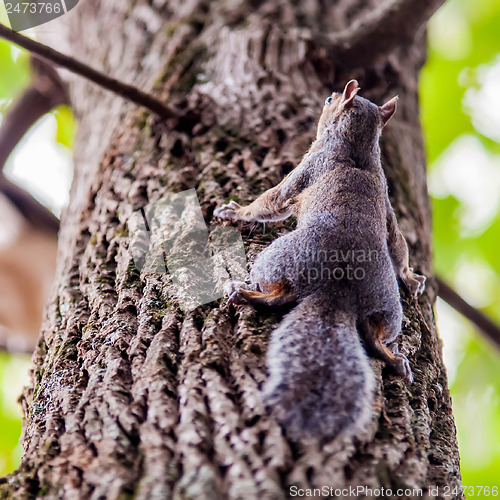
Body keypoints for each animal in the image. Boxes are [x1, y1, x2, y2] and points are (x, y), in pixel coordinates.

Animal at [214, 80, 426, 440]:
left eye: (329, 99)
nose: (328, 95)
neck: (358, 151)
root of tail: (337, 292)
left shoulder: (308, 168)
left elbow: (272, 201)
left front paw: (235, 212)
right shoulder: (388, 205)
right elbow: (398, 243)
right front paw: (411, 278)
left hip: (276, 258)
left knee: (279, 295)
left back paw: (242, 292)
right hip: (388, 306)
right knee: (375, 337)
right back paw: (396, 361)